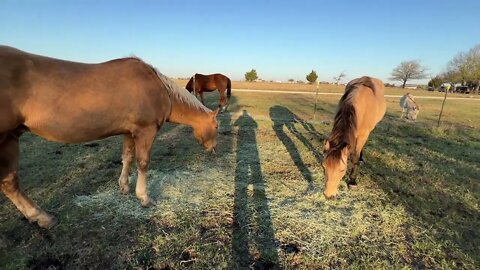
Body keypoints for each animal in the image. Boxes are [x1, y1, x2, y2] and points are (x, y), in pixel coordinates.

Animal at [0, 46, 219, 228]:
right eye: (216, 126)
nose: (213, 149)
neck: (159, 89)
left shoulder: (129, 132)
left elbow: (127, 158)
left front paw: (124, 187)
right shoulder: (145, 131)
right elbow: (143, 162)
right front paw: (144, 197)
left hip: (10, 138)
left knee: (9, 183)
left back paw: (39, 217)